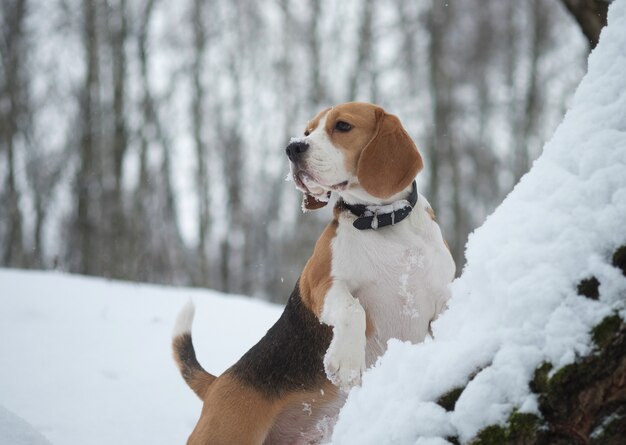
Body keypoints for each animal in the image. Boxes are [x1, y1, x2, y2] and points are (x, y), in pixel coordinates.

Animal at [171, 101, 454, 444]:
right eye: (307, 132)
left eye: (343, 126)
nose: (293, 148)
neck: (383, 222)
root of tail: (217, 382)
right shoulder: (319, 285)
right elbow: (354, 308)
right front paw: (345, 363)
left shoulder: (442, 297)